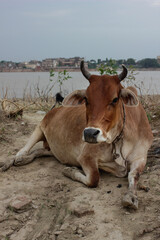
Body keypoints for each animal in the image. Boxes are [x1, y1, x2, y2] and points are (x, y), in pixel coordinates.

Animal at [1, 62, 153, 210]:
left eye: (115, 99)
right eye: (86, 98)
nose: (90, 133)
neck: (119, 139)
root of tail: (56, 109)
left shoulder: (140, 158)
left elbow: (133, 175)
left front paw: (131, 197)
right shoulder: (85, 157)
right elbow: (94, 179)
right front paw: (70, 170)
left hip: (54, 149)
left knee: (40, 151)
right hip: (39, 127)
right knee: (22, 150)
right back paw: (13, 161)